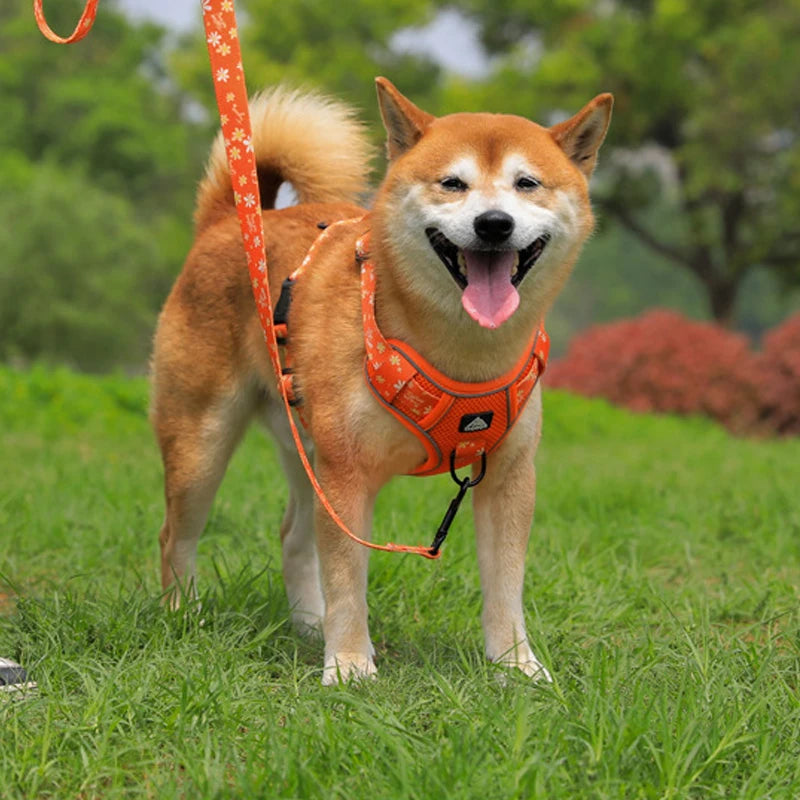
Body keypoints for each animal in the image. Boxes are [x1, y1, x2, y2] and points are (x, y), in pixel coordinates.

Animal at [150, 78, 612, 684]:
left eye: (527, 183)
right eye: (453, 183)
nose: (493, 223)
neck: (459, 354)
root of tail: (230, 219)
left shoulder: (509, 477)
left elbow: (506, 587)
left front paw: (516, 666)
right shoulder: (347, 476)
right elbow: (348, 580)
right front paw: (348, 666)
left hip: (308, 451)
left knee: (292, 537)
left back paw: (308, 626)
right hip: (204, 446)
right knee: (175, 537)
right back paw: (184, 616)